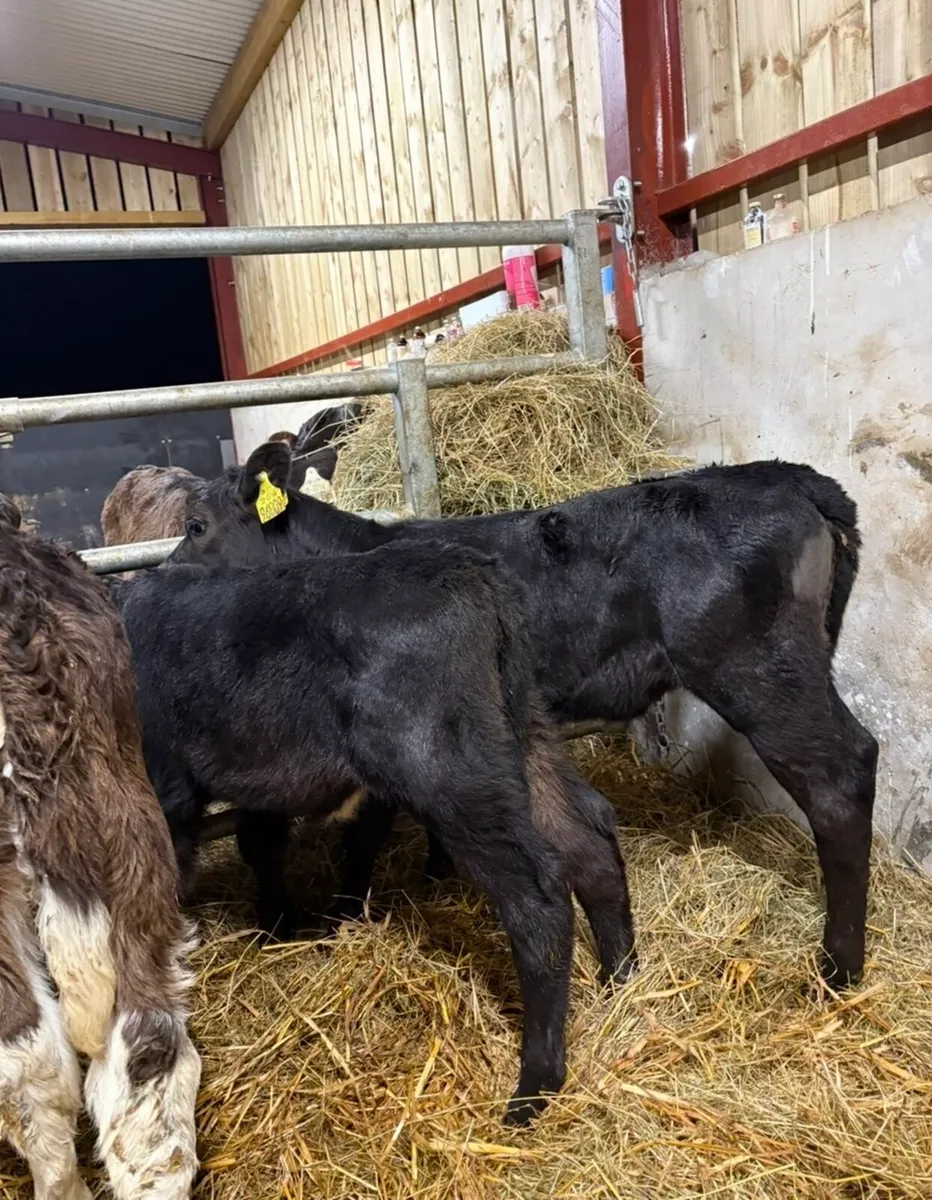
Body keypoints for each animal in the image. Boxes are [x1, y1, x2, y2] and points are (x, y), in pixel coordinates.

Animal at [111, 537, 635, 1125]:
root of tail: (474, 573)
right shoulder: (256, 781)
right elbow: (261, 845)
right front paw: (278, 927)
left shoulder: (165, 787)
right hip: (522, 730)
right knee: (587, 833)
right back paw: (620, 979)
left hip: (445, 764)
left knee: (536, 890)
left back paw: (535, 1086)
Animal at [172, 442, 878, 992]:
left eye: (196, 525)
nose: (167, 574)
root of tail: (785, 475)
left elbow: (356, 836)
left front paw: (340, 916)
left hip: (758, 671)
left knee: (842, 774)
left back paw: (837, 970)